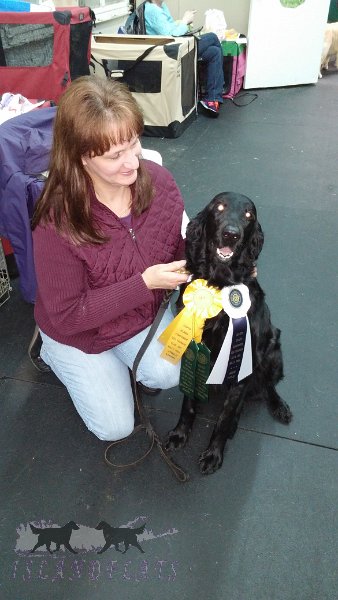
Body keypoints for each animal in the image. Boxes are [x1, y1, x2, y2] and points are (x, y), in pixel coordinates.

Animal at [165, 192, 292, 474]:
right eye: (220, 207)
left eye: (248, 215)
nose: (231, 234)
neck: (219, 284)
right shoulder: (193, 350)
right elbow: (188, 403)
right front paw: (180, 433)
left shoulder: (242, 363)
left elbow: (223, 420)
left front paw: (214, 453)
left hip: (273, 349)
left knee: (268, 386)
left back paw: (279, 406)